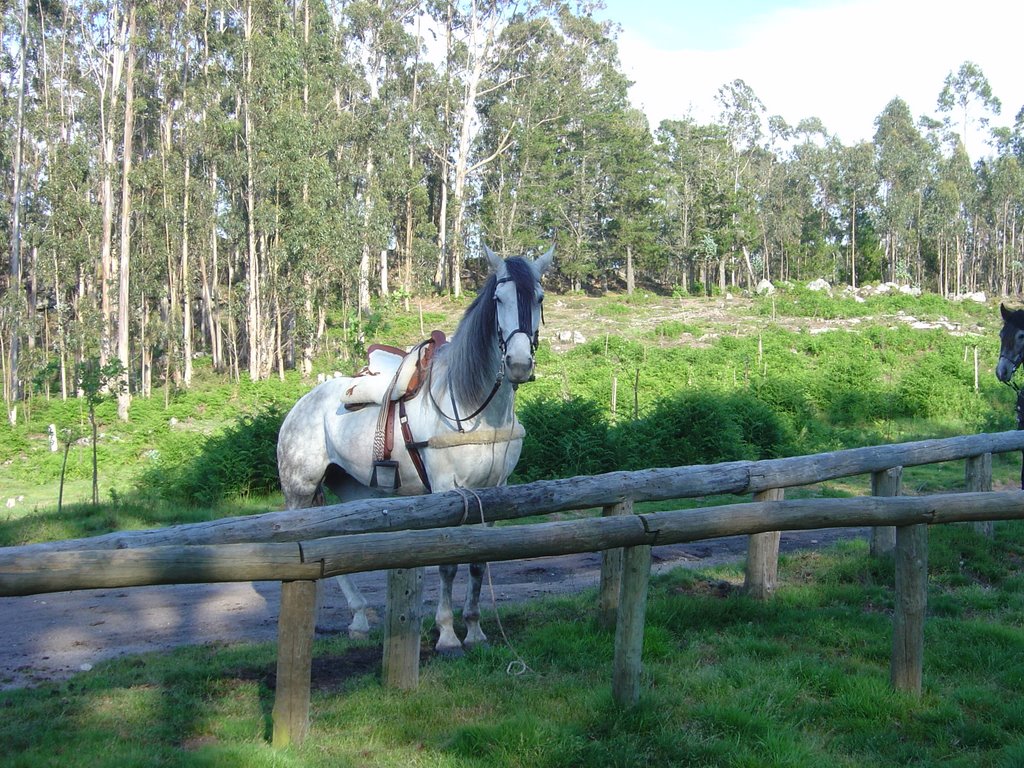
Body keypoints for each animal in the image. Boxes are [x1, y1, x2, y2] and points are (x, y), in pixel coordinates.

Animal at [276, 246, 552, 655]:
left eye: (539, 298)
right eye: (498, 299)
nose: (518, 365)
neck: (474, 407)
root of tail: (300, 405)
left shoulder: (495, 490)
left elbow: (479, 560)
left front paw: (475, 629)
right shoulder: (446, 489)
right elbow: (449, 563)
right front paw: (448, 634)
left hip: (353, 489)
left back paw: (359, 619)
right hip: (300, 491)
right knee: (310, 543)